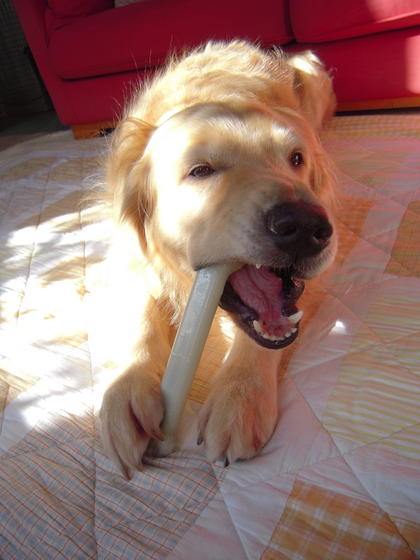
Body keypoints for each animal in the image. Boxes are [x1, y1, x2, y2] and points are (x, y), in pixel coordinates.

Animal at [99, 40, 337, 479]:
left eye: (296, 159)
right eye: (200, 170)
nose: (306, 226)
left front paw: (239, 396)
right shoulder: (128, 253)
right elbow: (140, 315)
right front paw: (127, 387)